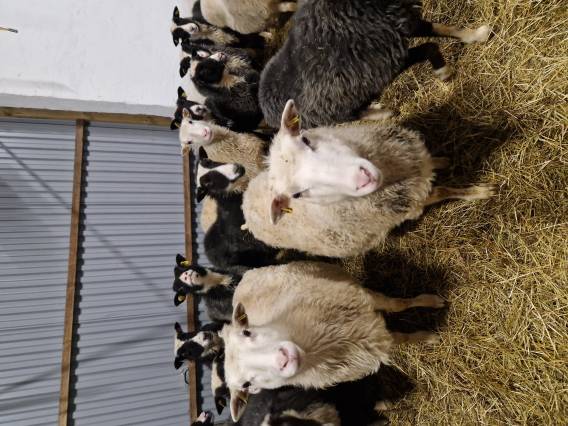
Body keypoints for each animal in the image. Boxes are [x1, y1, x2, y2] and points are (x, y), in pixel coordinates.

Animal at [221, 261, 445, 421]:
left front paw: (432, 303)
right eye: (247, 385)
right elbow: (402, 338)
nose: (283, 359)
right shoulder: (374, 342)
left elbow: (397, 304)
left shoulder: (365, 299)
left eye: (247, 332)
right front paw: (428, 337)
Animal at [240, 100, 495, 258]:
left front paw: (443, 161)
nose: (361, 178)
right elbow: (444, 191)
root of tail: (246, 201)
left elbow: (431, 162)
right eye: (297, 195)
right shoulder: (411, 203)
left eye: (306, 139)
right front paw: (480, 192)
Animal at [259, 0, 492, 128]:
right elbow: (430, 46)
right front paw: (444, 72)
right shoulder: (386, 59)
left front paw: (477, 35)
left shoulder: (400, 22)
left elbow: (440, 28)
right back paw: (386, 113)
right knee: (355, 115)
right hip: (332, 114)